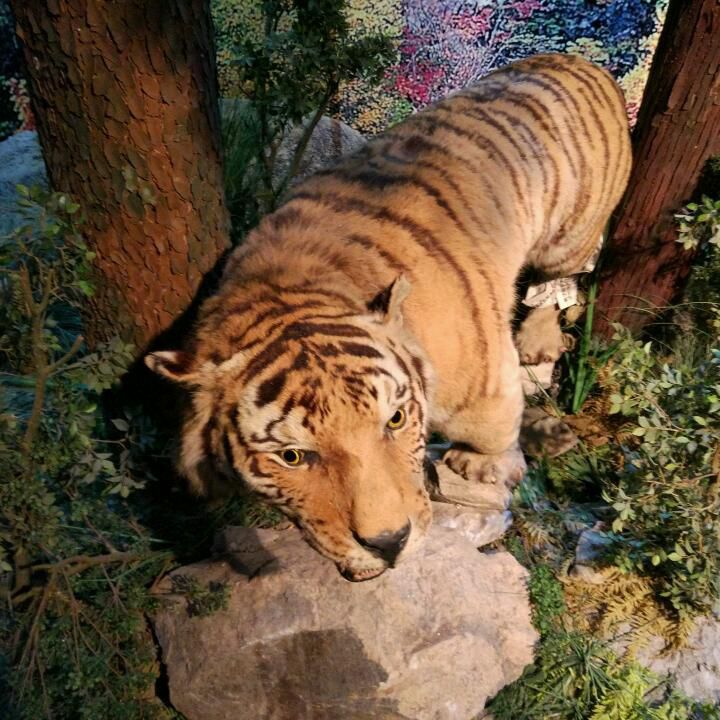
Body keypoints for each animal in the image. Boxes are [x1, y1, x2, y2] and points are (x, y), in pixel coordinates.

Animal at [146, 53, 631, 582]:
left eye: (395, 420)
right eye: (292, 457)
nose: (390, 543)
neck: (288, 286)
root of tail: (578, 60)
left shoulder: (482, 378)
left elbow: (492, 422)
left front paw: (480, 464)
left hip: (569, 233)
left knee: (563, 277)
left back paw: (538, 345)